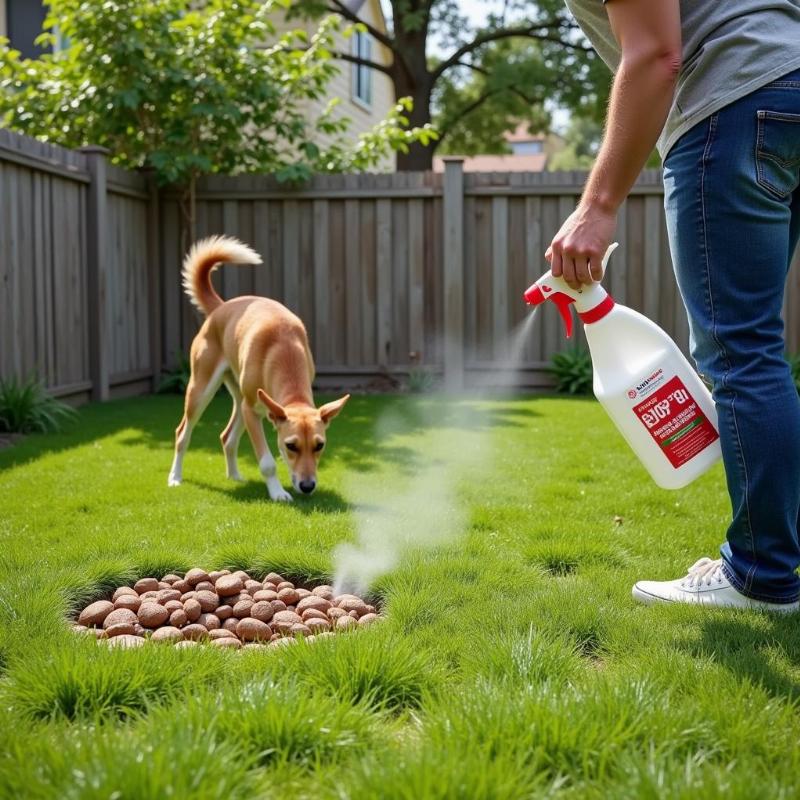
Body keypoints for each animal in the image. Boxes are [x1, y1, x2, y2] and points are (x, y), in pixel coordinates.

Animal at [167, 234, 348, 504]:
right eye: (291, 445)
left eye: (319, 445)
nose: (307, 486)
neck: (284, 349)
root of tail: (220, 307)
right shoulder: (253, 412)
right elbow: (267, 463)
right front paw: (278, 492)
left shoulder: (255, 408)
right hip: (202, 389)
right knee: (182, 434)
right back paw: (175, 477)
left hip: (240, 398)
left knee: (227, 437)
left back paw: (234, 476)